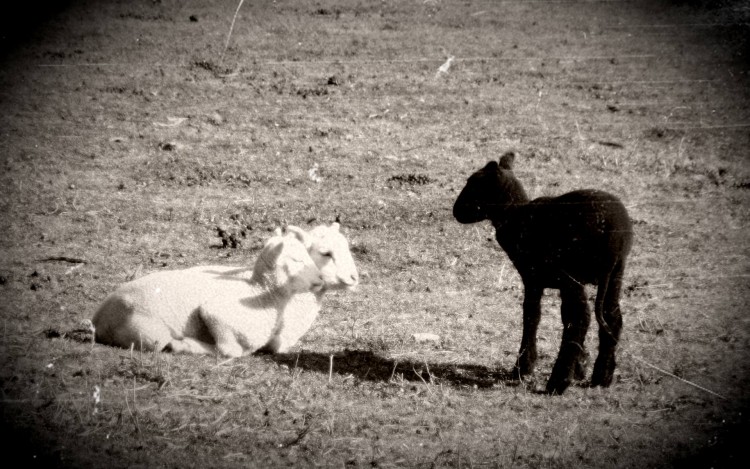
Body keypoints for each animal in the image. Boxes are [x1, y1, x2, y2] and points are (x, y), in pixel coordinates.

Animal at [452, 152, 636, 394]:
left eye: (474, 184)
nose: (456, 211)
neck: (515, 215)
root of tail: (613, 238)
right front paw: (581, 365)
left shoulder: (532, 277)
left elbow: (531, 315)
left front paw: (523, 368)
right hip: (616, 272)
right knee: (611, 316)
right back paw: (601, 377)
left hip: (571, 271)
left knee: (580, 318)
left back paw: (558, 382)